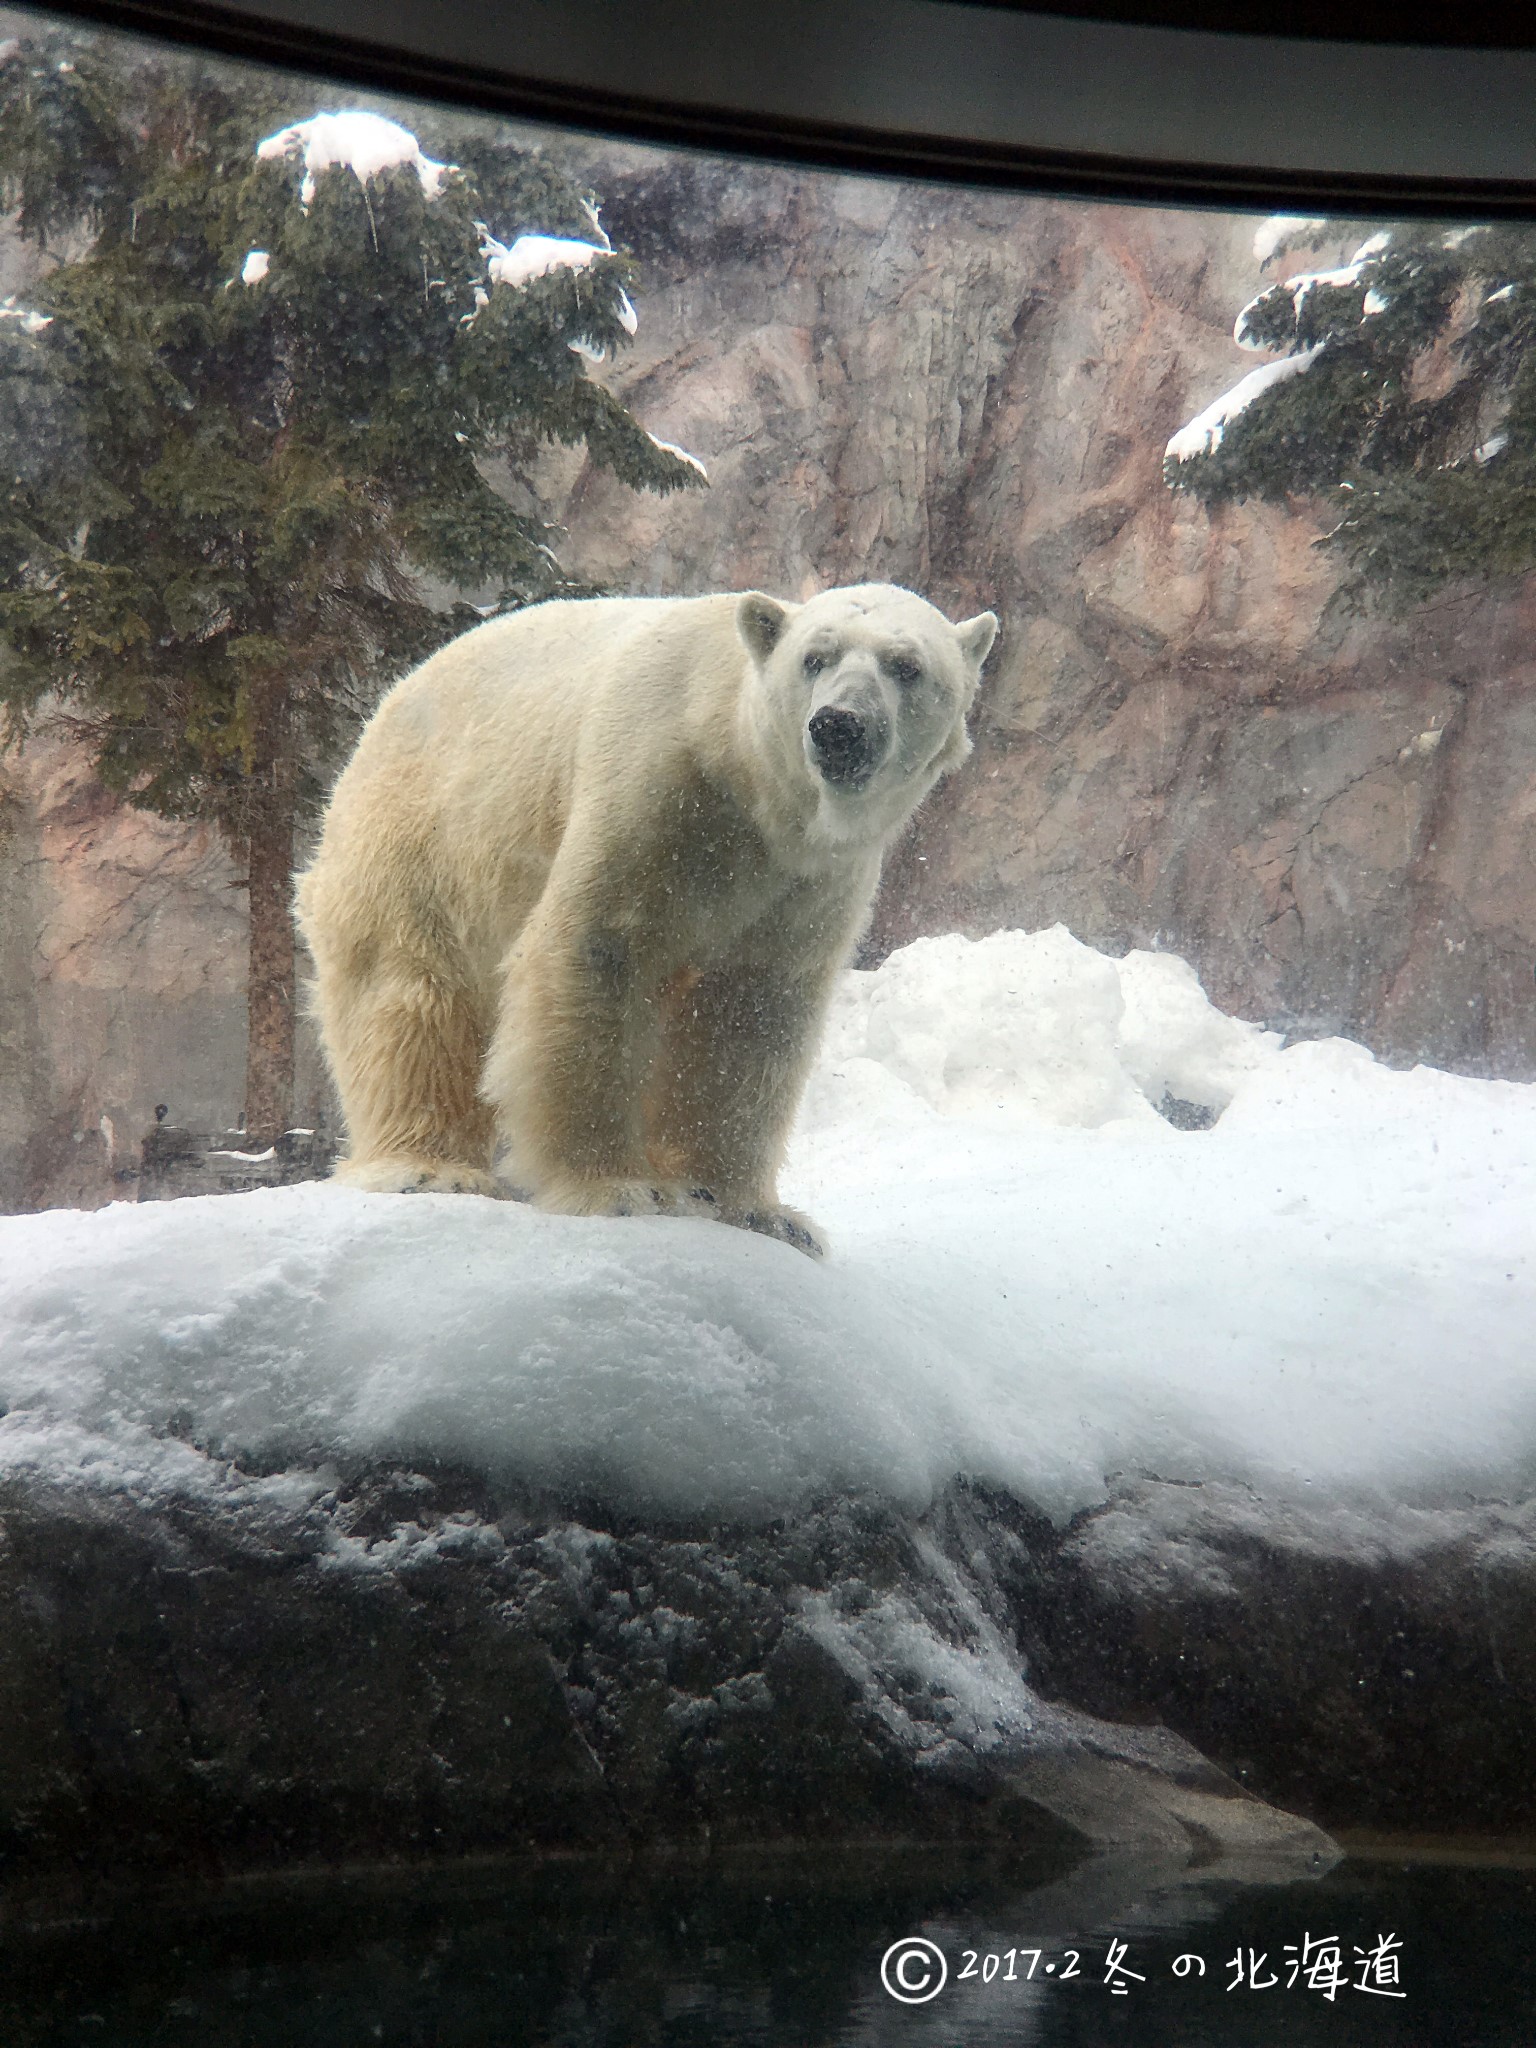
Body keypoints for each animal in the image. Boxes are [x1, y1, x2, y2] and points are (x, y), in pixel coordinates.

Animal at [294, 585, 1003, 1253]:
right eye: (814, 658)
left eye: (907, 666)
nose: (839, 725)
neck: (746, 784)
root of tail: (388, 704)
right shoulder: (655, 789)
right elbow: (598, 950)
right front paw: (619, 1188)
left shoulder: (807, 878)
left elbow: (748, 1012)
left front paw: (756, 1211)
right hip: (425, 834)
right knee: (410, 993)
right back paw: (427, 1168)